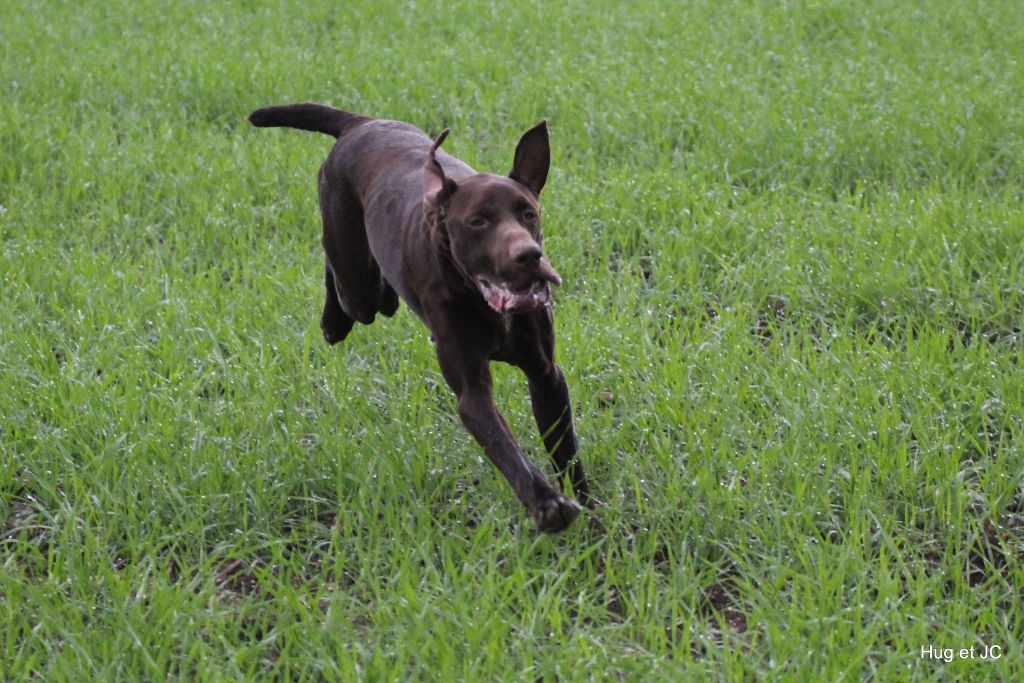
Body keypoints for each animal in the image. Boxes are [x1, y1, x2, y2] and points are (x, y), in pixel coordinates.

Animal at [244, 104, 593, 532]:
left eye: (528, 214)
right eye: (478, 222)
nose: (528, 256)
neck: (483, 300)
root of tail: (360, 124)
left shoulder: (546, 376)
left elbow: (567, 453)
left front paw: (591, 511)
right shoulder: (473, 393)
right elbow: (506, 448)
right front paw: (546, 503)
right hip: (353, 276)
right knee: (343, 279)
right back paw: (333, 322)